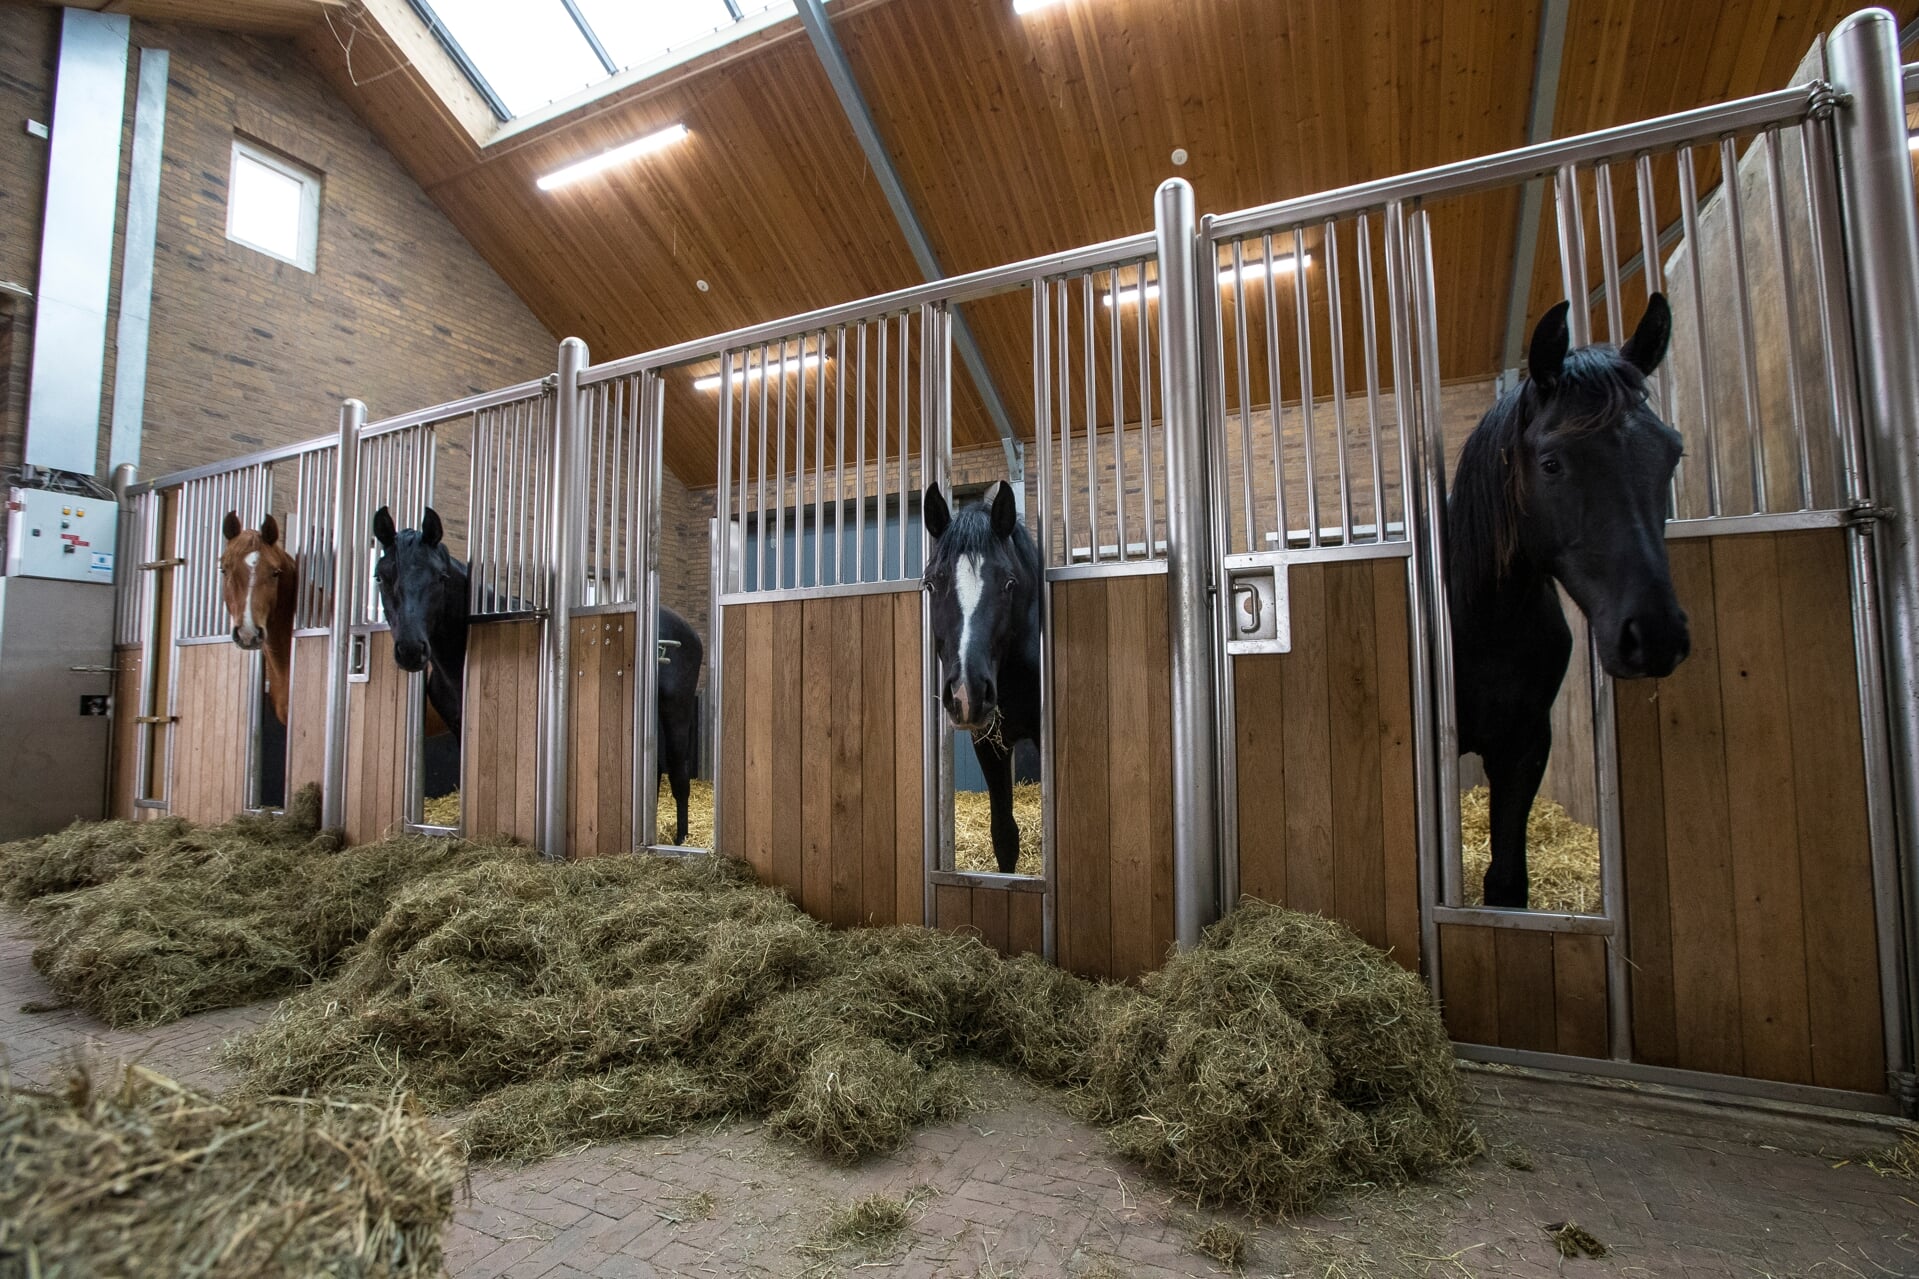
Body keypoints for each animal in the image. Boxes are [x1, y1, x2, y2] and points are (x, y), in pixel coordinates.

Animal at [1448, 294, 1690, 909]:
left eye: (1672, 453)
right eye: (1552, 462)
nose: (1655, 634)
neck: (1489, 621)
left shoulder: (1527, 743)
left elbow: (1507, 882)